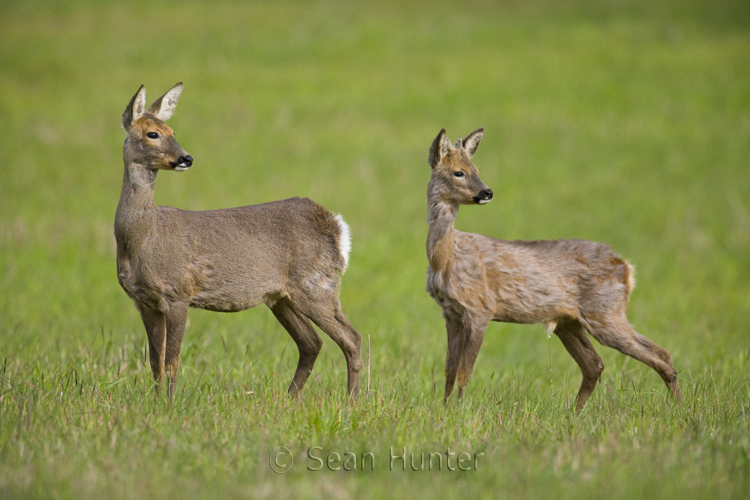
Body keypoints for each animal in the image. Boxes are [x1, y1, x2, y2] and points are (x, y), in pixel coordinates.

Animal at [115, 84, 364, 400]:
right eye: (152, 134)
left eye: (172, 129)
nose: (186, 158)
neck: (140, 239)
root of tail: (337, 226)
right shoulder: (144, 302)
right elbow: (156, 363)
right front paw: (158, 402)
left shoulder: (178, 292)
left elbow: (171, 361)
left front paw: (169, 404)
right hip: (281, 296)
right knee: (311, 342)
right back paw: (289, 399)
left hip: (316, 284)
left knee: (351, 337)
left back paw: (351, 401)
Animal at [428, 128, 680, 410]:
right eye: (459, 172)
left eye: (477, 168)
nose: (487, 192)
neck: (444, 260)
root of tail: (627, 268)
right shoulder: (451, 312)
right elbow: (450, 368)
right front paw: (445, 409)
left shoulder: (480, 308)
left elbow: (465, 370)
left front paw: (459, 410)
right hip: (570, 323)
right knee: (597, 364)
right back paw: (575, 412)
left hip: (606, 313)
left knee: (660, 356)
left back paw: (679, 408)